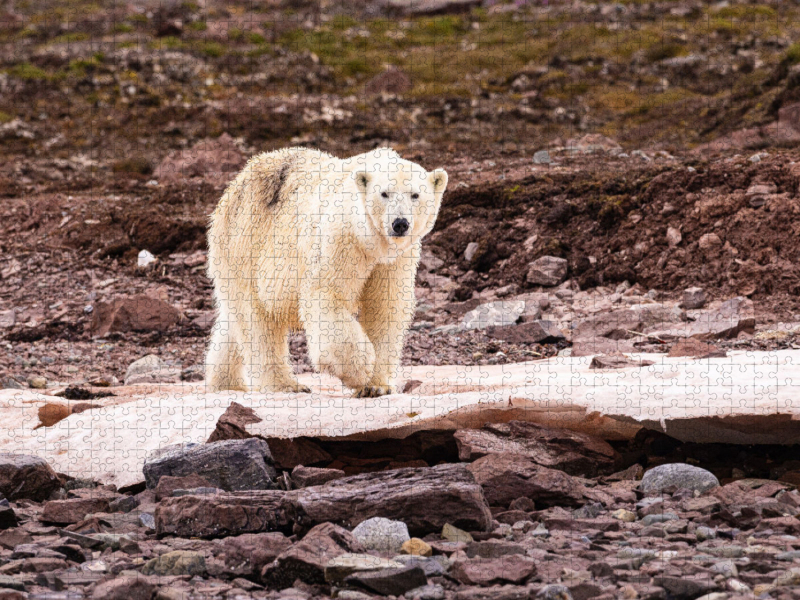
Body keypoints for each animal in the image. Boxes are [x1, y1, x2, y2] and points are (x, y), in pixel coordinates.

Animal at [203, 147, 446, 396]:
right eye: (384, 193)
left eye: (415, 195)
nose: (400, 223)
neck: (371, 243)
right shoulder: (339, 239)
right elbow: (328, 295)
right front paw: (360, 370)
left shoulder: (395, 259)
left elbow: (385, 306)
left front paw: (376, 386)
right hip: (246, 246)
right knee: (258, 322)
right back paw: (285, 385)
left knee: (234, 323)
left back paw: (226, 383)